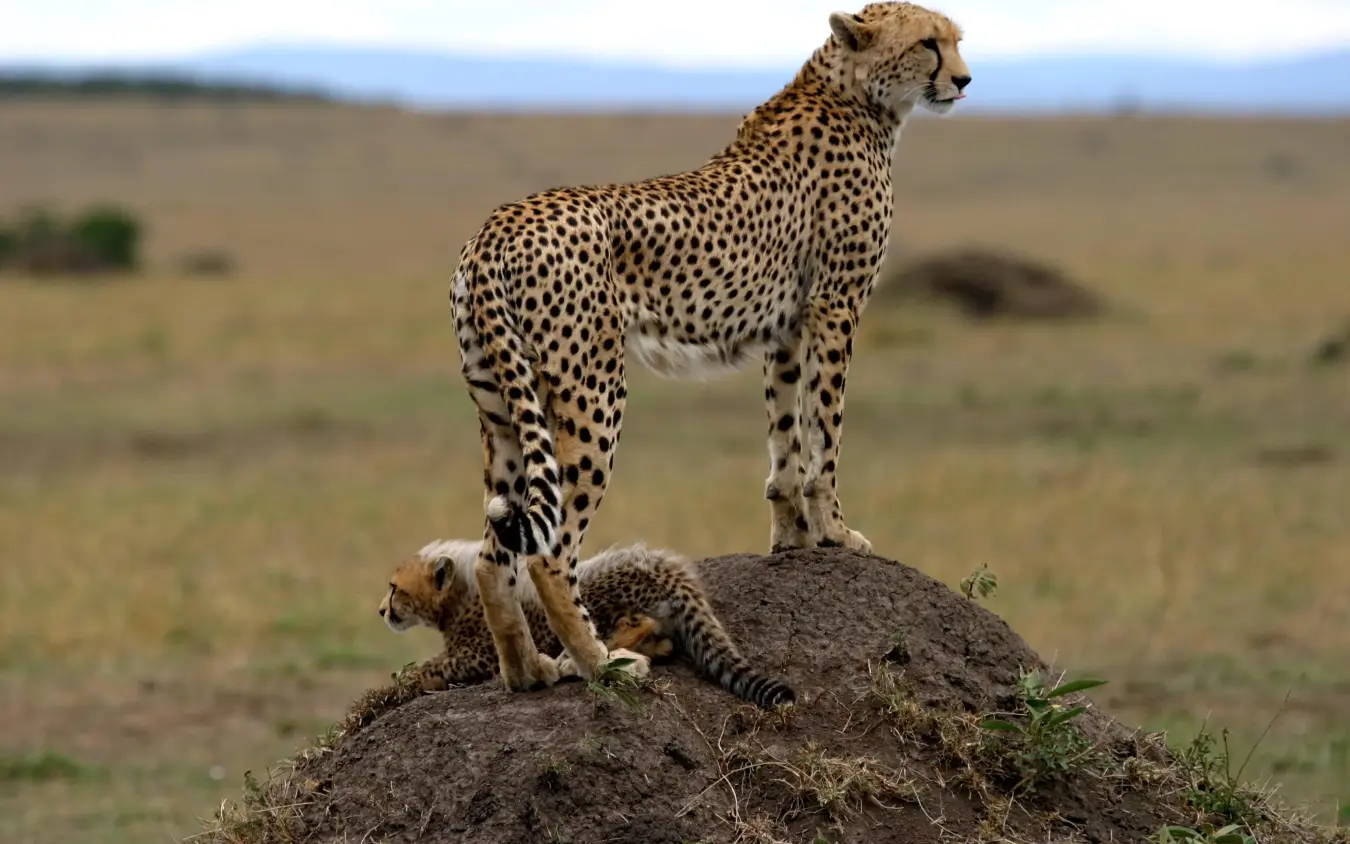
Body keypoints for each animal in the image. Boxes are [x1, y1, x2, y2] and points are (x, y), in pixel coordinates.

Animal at [378, 538, 796, 709]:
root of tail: (660, 564)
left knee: (635, 622)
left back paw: (577, 659)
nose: (382, 610)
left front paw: (398, 685)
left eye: (394, 588)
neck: (459, 592)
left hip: (593, 590)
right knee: (663, 640)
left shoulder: (477, 655)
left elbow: (425, 669)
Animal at [449, 2, 971, 692]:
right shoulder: (836, 305)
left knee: (493, 551)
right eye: (928, 44)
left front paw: (794, 539)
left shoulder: (786, 325)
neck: (856, 95)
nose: (964, 80)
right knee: (550, 551)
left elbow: (786, 438)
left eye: (955, 40)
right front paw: (836, 532)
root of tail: (496, 225)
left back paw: (528, 670)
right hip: (591, 392)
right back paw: (601, 663)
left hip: (503, 404)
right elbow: (826, 431)